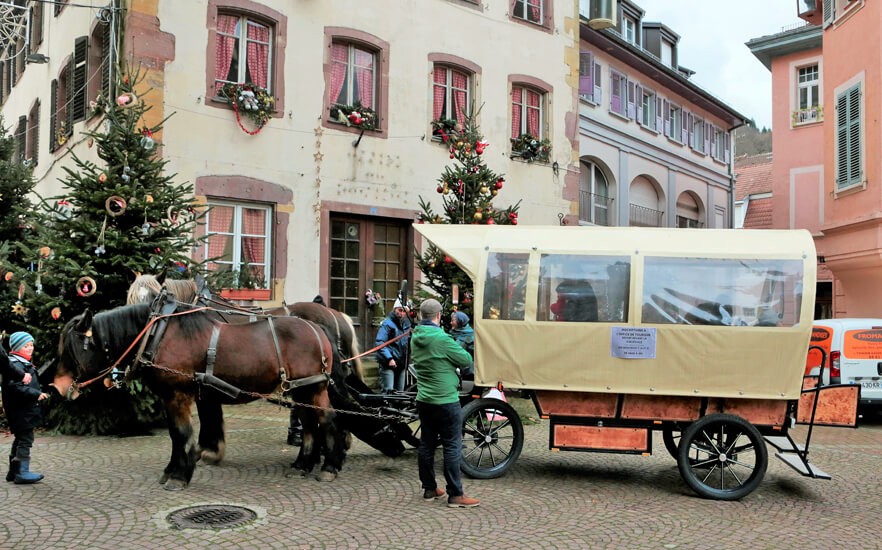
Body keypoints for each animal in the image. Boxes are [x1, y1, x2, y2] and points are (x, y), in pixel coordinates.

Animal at [53, 298, 346, 492]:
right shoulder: (170, 397)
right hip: (300, 389)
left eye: (73, 348)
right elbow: (175, 435)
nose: (57, 386)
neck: (158, 334)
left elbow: (183, 434)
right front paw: (172, 469)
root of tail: (318, 329)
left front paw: (180, 475)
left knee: (328, 419)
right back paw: (302, 465)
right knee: (310, 423)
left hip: (314, 388)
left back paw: (328, 468)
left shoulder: (178, 395)